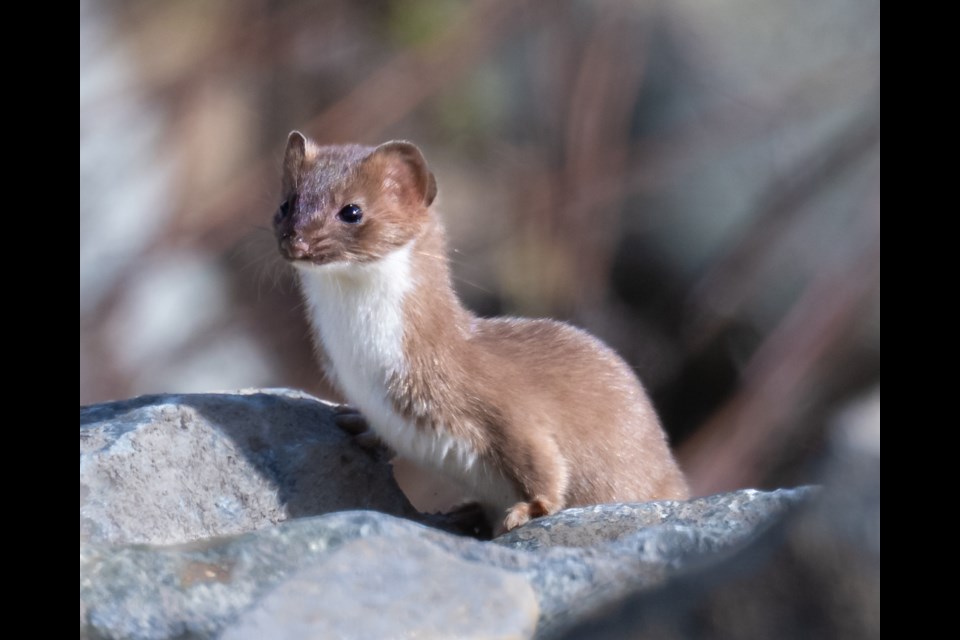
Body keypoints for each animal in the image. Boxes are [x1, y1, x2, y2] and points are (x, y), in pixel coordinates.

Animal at [274, 131, 688, 536]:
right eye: (286, 204)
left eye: (352, 211)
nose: (295, 241)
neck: (364, 369)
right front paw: (355, 422)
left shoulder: (500, 403)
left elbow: (540, 461)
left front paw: (527, 510)